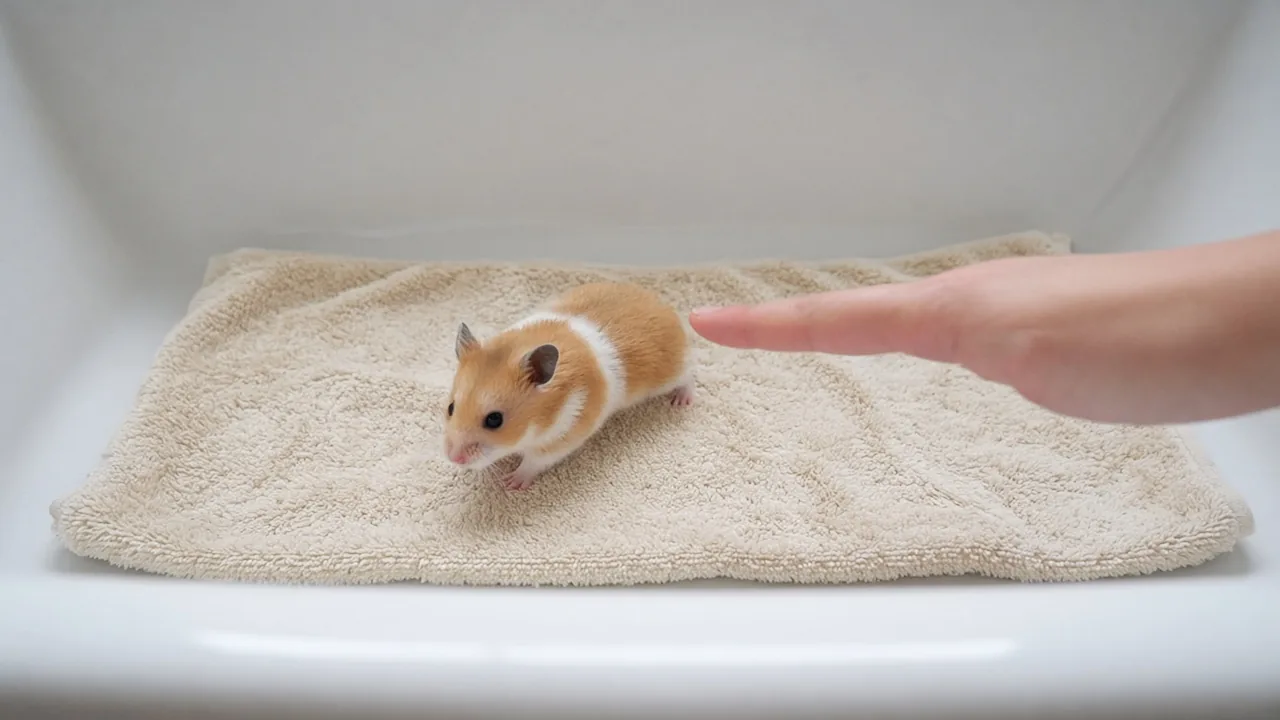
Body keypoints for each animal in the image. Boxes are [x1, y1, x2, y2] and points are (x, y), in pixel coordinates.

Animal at [443, 281, 696, 491]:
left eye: (495, 420)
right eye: (450, 408)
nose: (453, 458)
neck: (540, 419)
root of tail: (664, 305)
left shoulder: (562, 438)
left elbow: (532, 462)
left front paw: (511, 483)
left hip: (671, 374)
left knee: (690, 374)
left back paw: (681, 400)